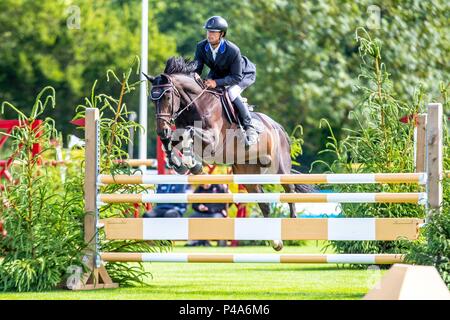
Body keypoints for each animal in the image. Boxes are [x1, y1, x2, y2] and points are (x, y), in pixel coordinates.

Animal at [145, 58, 312, 252]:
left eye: (167, 96)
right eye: (152, 99)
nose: (161, 130)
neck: (196, 104)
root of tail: (278, 127)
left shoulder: (212, 141)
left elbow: (188, 132)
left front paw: (192, 164)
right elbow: (172, 141)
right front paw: (180, 164)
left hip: (280, 168)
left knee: (290, 192)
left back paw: (292, 227)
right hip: (247, 174)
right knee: (264, 204)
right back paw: (276, 242)